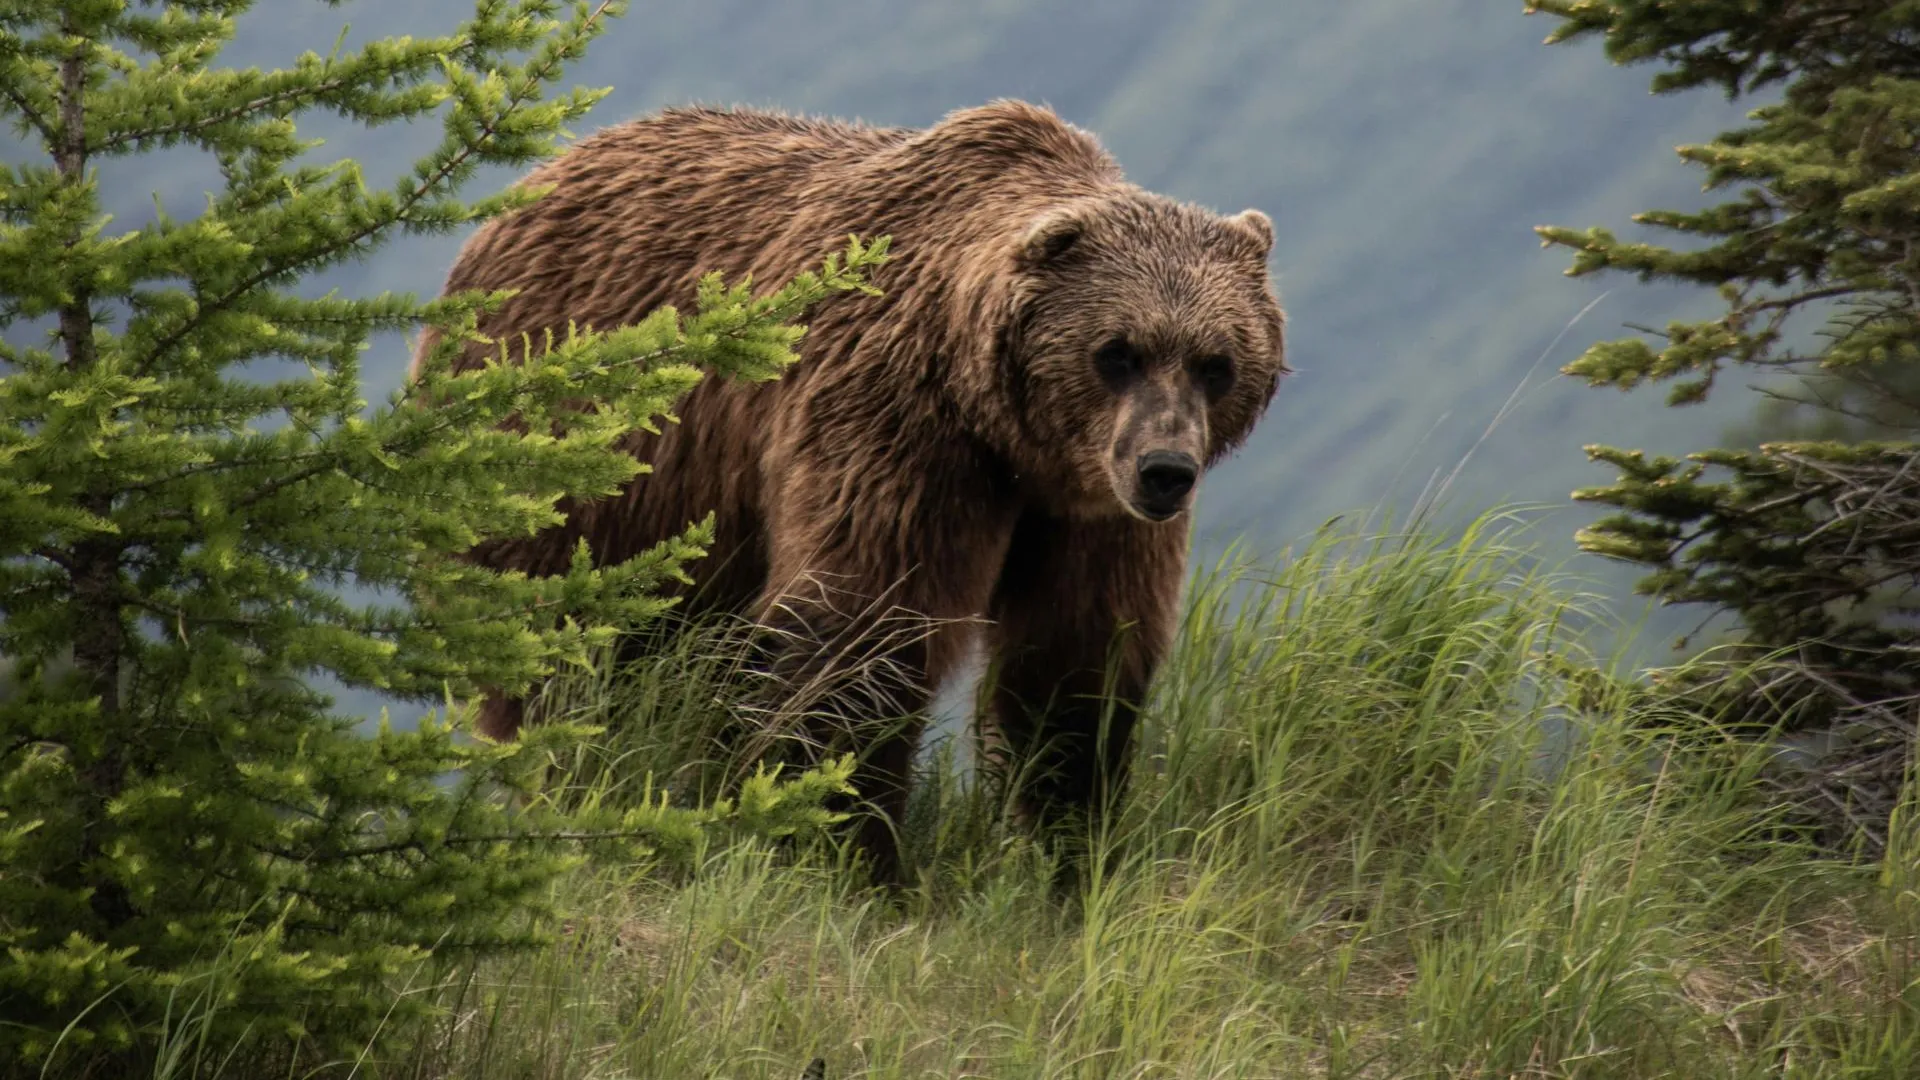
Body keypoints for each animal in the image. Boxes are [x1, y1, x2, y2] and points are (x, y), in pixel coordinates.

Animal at [416, 98, 1290, 883]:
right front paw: (847, 854)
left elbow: (1076, 659)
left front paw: (1068, 849)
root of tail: (533, 181)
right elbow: (861, 629)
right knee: (575, 656)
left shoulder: (1088, 509)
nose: (1165, 469)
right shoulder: (895, 425)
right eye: (1118, 351)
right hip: (581, 466)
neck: (1004, 431)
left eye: (1217, 362)